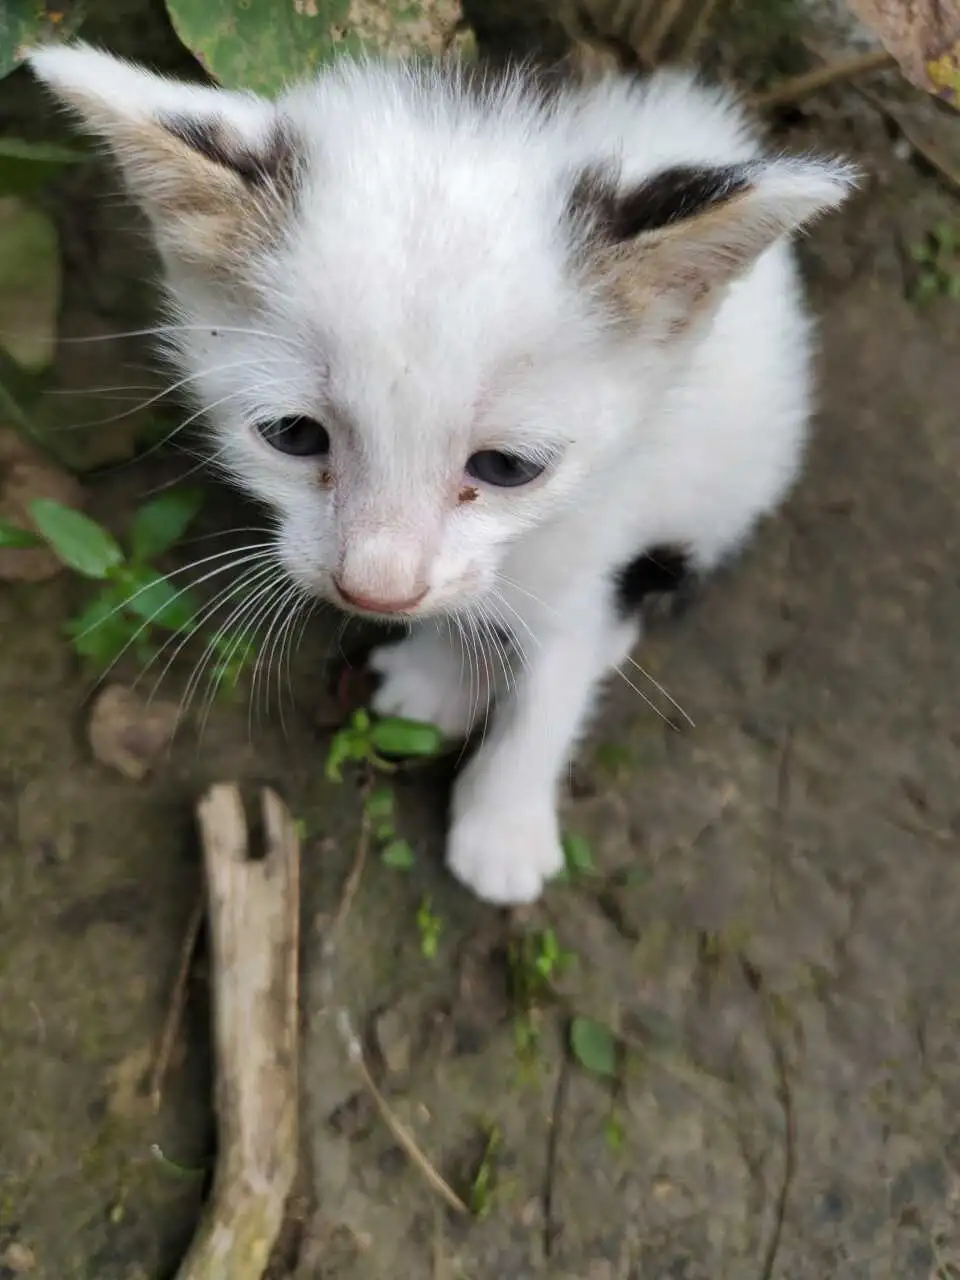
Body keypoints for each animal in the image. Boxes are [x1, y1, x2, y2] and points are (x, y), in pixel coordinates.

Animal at [30, 45, 855, 906]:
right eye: (293, 435)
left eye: (506, 467)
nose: (374, 592)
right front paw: (441, 666)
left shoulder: (604, 518)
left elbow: (557, 669)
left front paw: (504, 820)